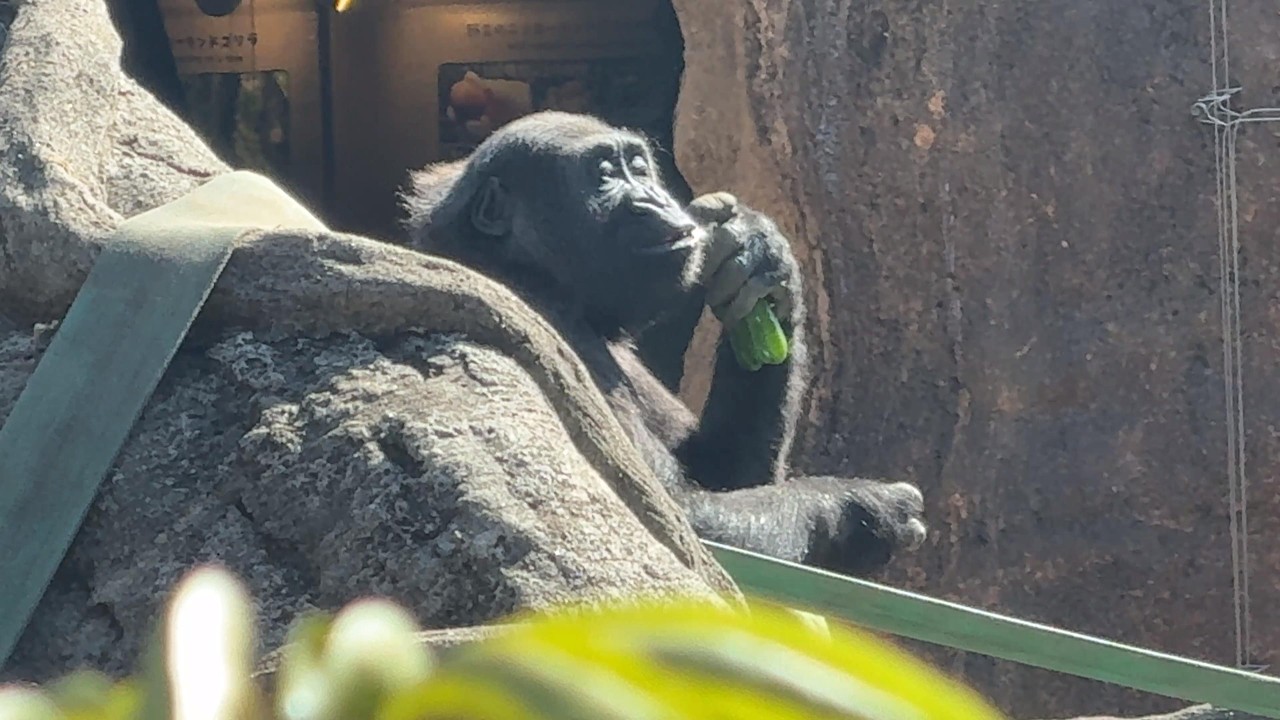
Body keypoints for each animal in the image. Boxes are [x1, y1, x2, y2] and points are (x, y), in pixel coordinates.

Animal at [400, 111, 926, 577]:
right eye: (604, 176)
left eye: (638, 167)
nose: (654, 198)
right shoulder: (556, 336)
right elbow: (673, 522)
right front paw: (864, 511)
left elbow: (723, 470)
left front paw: (760, 258)